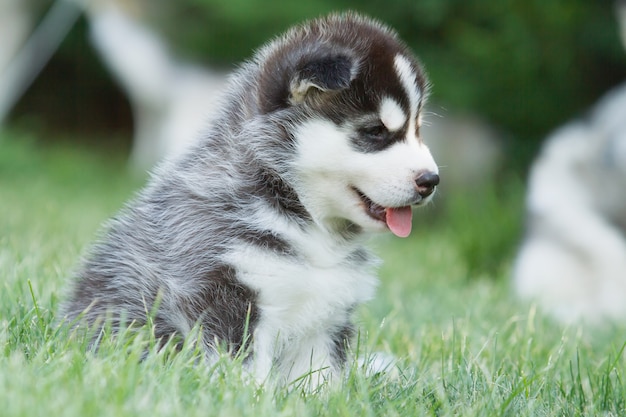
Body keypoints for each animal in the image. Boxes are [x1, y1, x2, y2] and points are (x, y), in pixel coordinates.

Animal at [61, 11, 436, 386]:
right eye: (375, 131)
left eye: (418, 130)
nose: (431, 180)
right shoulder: (226, 295)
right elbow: (245, 374)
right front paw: (252, 394)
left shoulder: (325, 317)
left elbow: (322, 381)